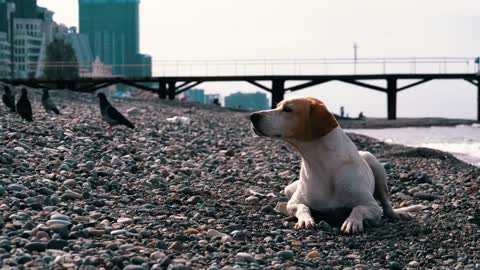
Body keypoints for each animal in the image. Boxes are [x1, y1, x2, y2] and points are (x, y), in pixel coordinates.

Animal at [251, 97, 424, 234]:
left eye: (288, 109)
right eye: (278, 106)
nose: (253, 116)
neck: (324, 165)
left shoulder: (373, 207)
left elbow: (359, 208)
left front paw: (352, 222)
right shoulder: (294, 202)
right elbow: (302, 207)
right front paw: (305, 219)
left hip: (375, 164)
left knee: (387, 205)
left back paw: (396, 214)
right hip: (289, 188)